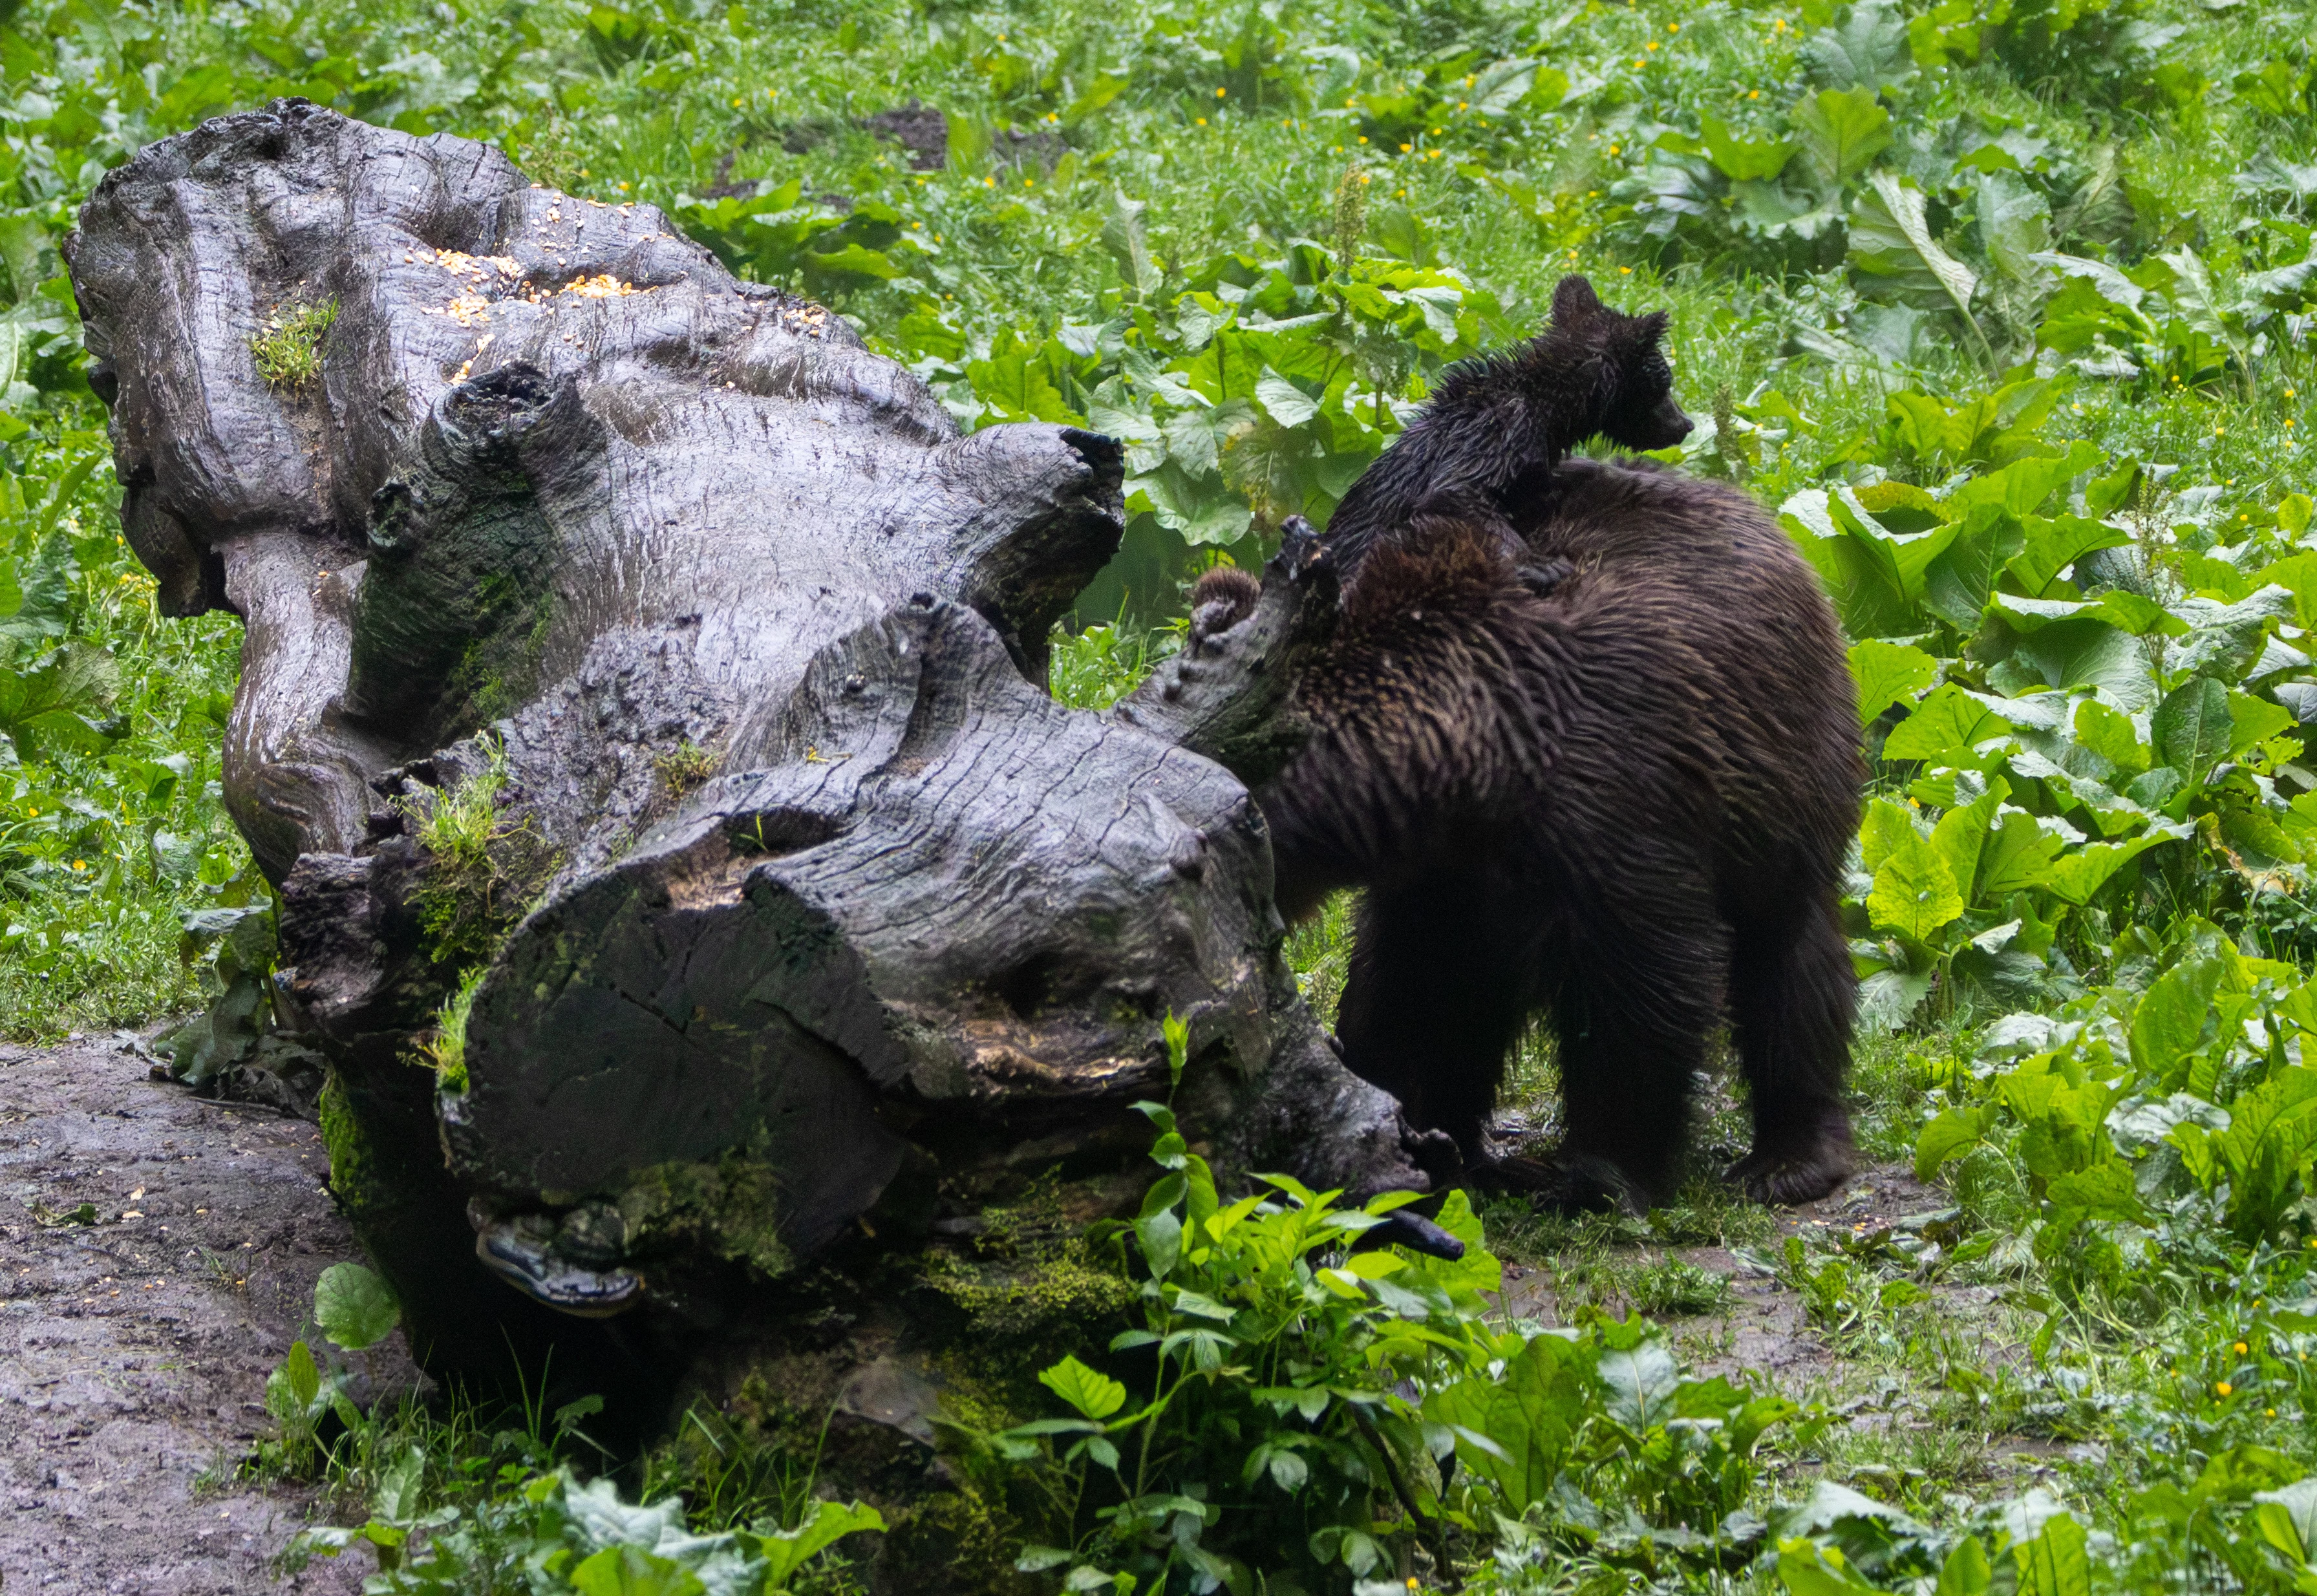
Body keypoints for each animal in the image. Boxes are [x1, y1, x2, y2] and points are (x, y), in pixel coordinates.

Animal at [1192, 460, 1862, 1212]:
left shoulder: (1614, 800)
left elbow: (1646, 984)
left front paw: (1598, 1174)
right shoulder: (1440, 874)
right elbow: (1416, 988)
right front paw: (1409, 1128)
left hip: (1784, 783)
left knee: (1786, 963)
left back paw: (1788, 1156)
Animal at [1318, 274, 1695, 578]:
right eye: (1665, 384)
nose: (1687, 424)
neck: (1550, 408)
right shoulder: (1497, 430)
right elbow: (1455, 491)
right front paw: (1540, 564)